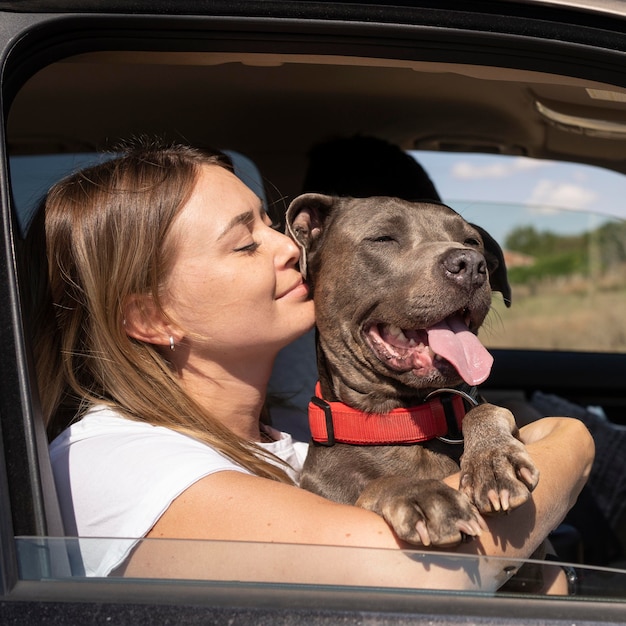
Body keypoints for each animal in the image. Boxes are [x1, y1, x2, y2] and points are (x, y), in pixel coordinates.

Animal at [286, 194, 540, 544]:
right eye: (383, 239)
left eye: (471, 241)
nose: (471, 264)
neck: (404, 421)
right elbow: (374, 485)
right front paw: (419, 493)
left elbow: (485, 410)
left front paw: (492, 459)